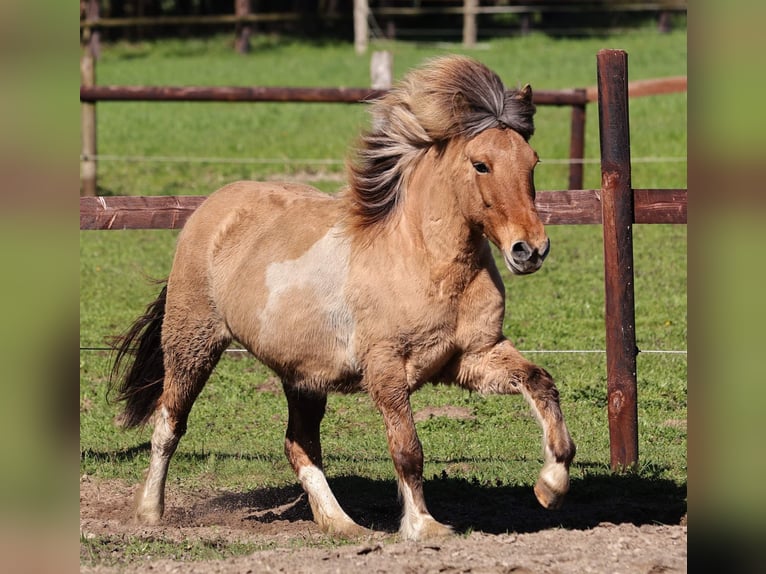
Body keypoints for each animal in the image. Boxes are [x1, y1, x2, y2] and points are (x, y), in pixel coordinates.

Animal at [109, 55, 576, 541]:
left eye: (533, 161)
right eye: (481, 164)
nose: (530, 250)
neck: (423, 260)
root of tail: (212, 207)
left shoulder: (474, 356)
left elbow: (541, 382)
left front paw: (551, 486)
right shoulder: (386, 368)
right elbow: (408, 448)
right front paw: (424, 526)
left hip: (302, 375)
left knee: (299, 444)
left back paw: (342, 524)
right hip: (193, 342)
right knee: (168, 424)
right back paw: (150, 513)